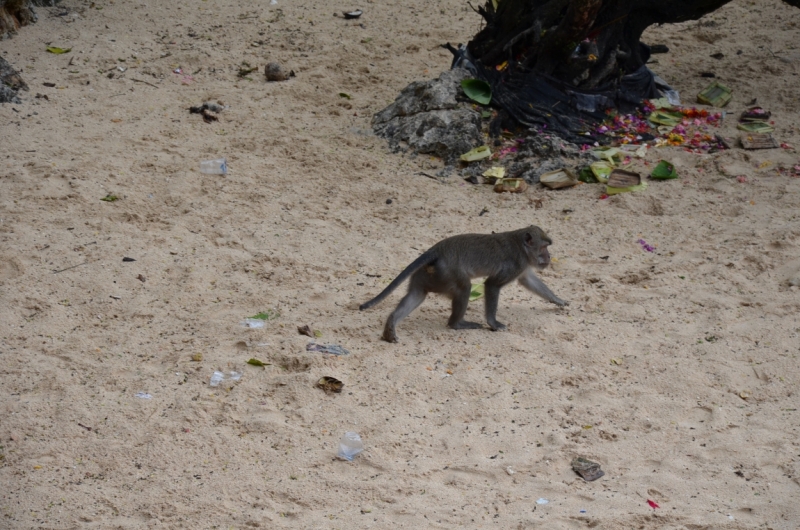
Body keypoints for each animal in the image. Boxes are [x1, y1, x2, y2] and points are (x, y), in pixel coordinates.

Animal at [360, 224, 564, 342]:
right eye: (544, 247)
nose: (549, 257)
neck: (521, 245)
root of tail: (436, 250)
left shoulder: (522, 266)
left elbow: (528, 280)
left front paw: (558, 300)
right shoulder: (516, 262)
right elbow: (492, 285)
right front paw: (493, 323)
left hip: (428, 274)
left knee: (417, 294)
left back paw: (391, 324)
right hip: (449, 273)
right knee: (464, 288)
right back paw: (457, 323)